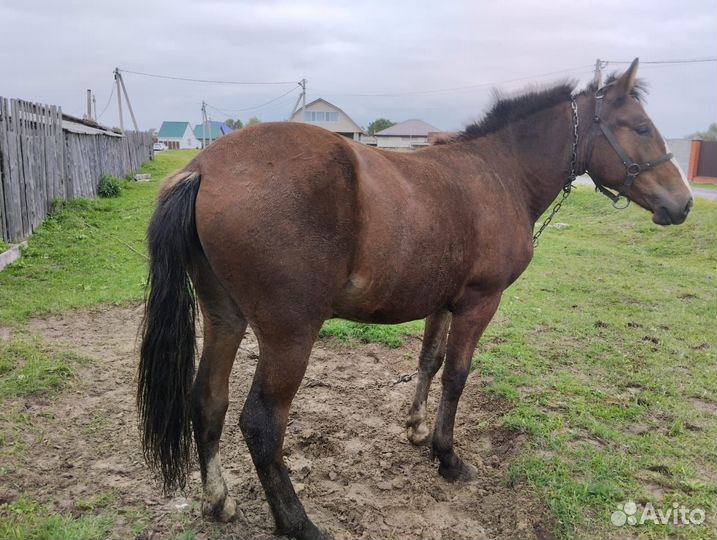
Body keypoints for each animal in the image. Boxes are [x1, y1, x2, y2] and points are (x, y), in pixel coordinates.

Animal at [138, 59, 692, 539]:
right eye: (640, 127)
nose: (684, 204)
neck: (500, 174)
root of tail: (205, 168)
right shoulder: (479, 304)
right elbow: (456, 377)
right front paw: (447, 457)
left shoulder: (442, 304)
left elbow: (429, 361)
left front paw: (417, 429)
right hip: (289, 333)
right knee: (261, 423)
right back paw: (298, 523)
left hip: (224, 317)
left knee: (208, 400)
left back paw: (218, 501)